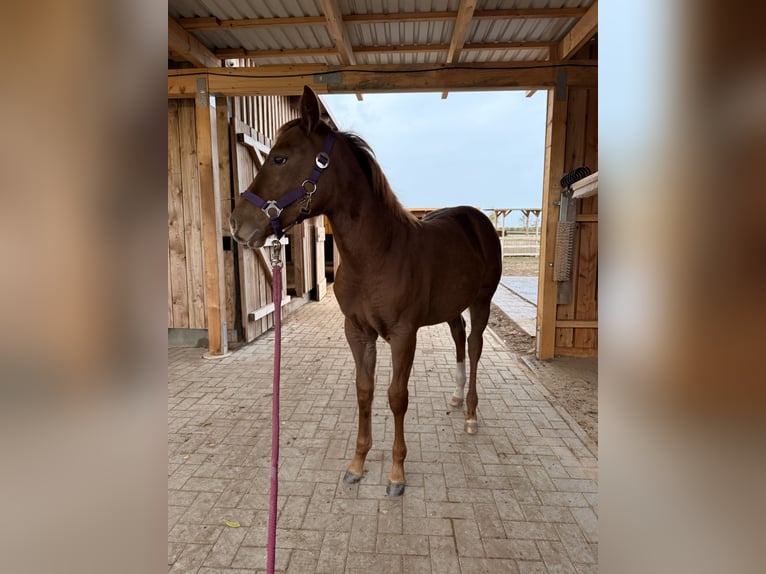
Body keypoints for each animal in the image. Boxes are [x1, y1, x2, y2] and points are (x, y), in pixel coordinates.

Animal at [230, 86, 501, 496]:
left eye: (279, 158)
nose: (237, 224)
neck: (377, 255)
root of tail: (478, 219)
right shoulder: (358, 332)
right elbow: (364, 391)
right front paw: (357, 464)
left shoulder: (404, 335)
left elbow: (396, 396)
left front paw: (396, 473)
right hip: (451, 306)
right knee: (458, 337)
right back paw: (455, 397)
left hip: (481, 303)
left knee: (473, 347)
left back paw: (470, 413)